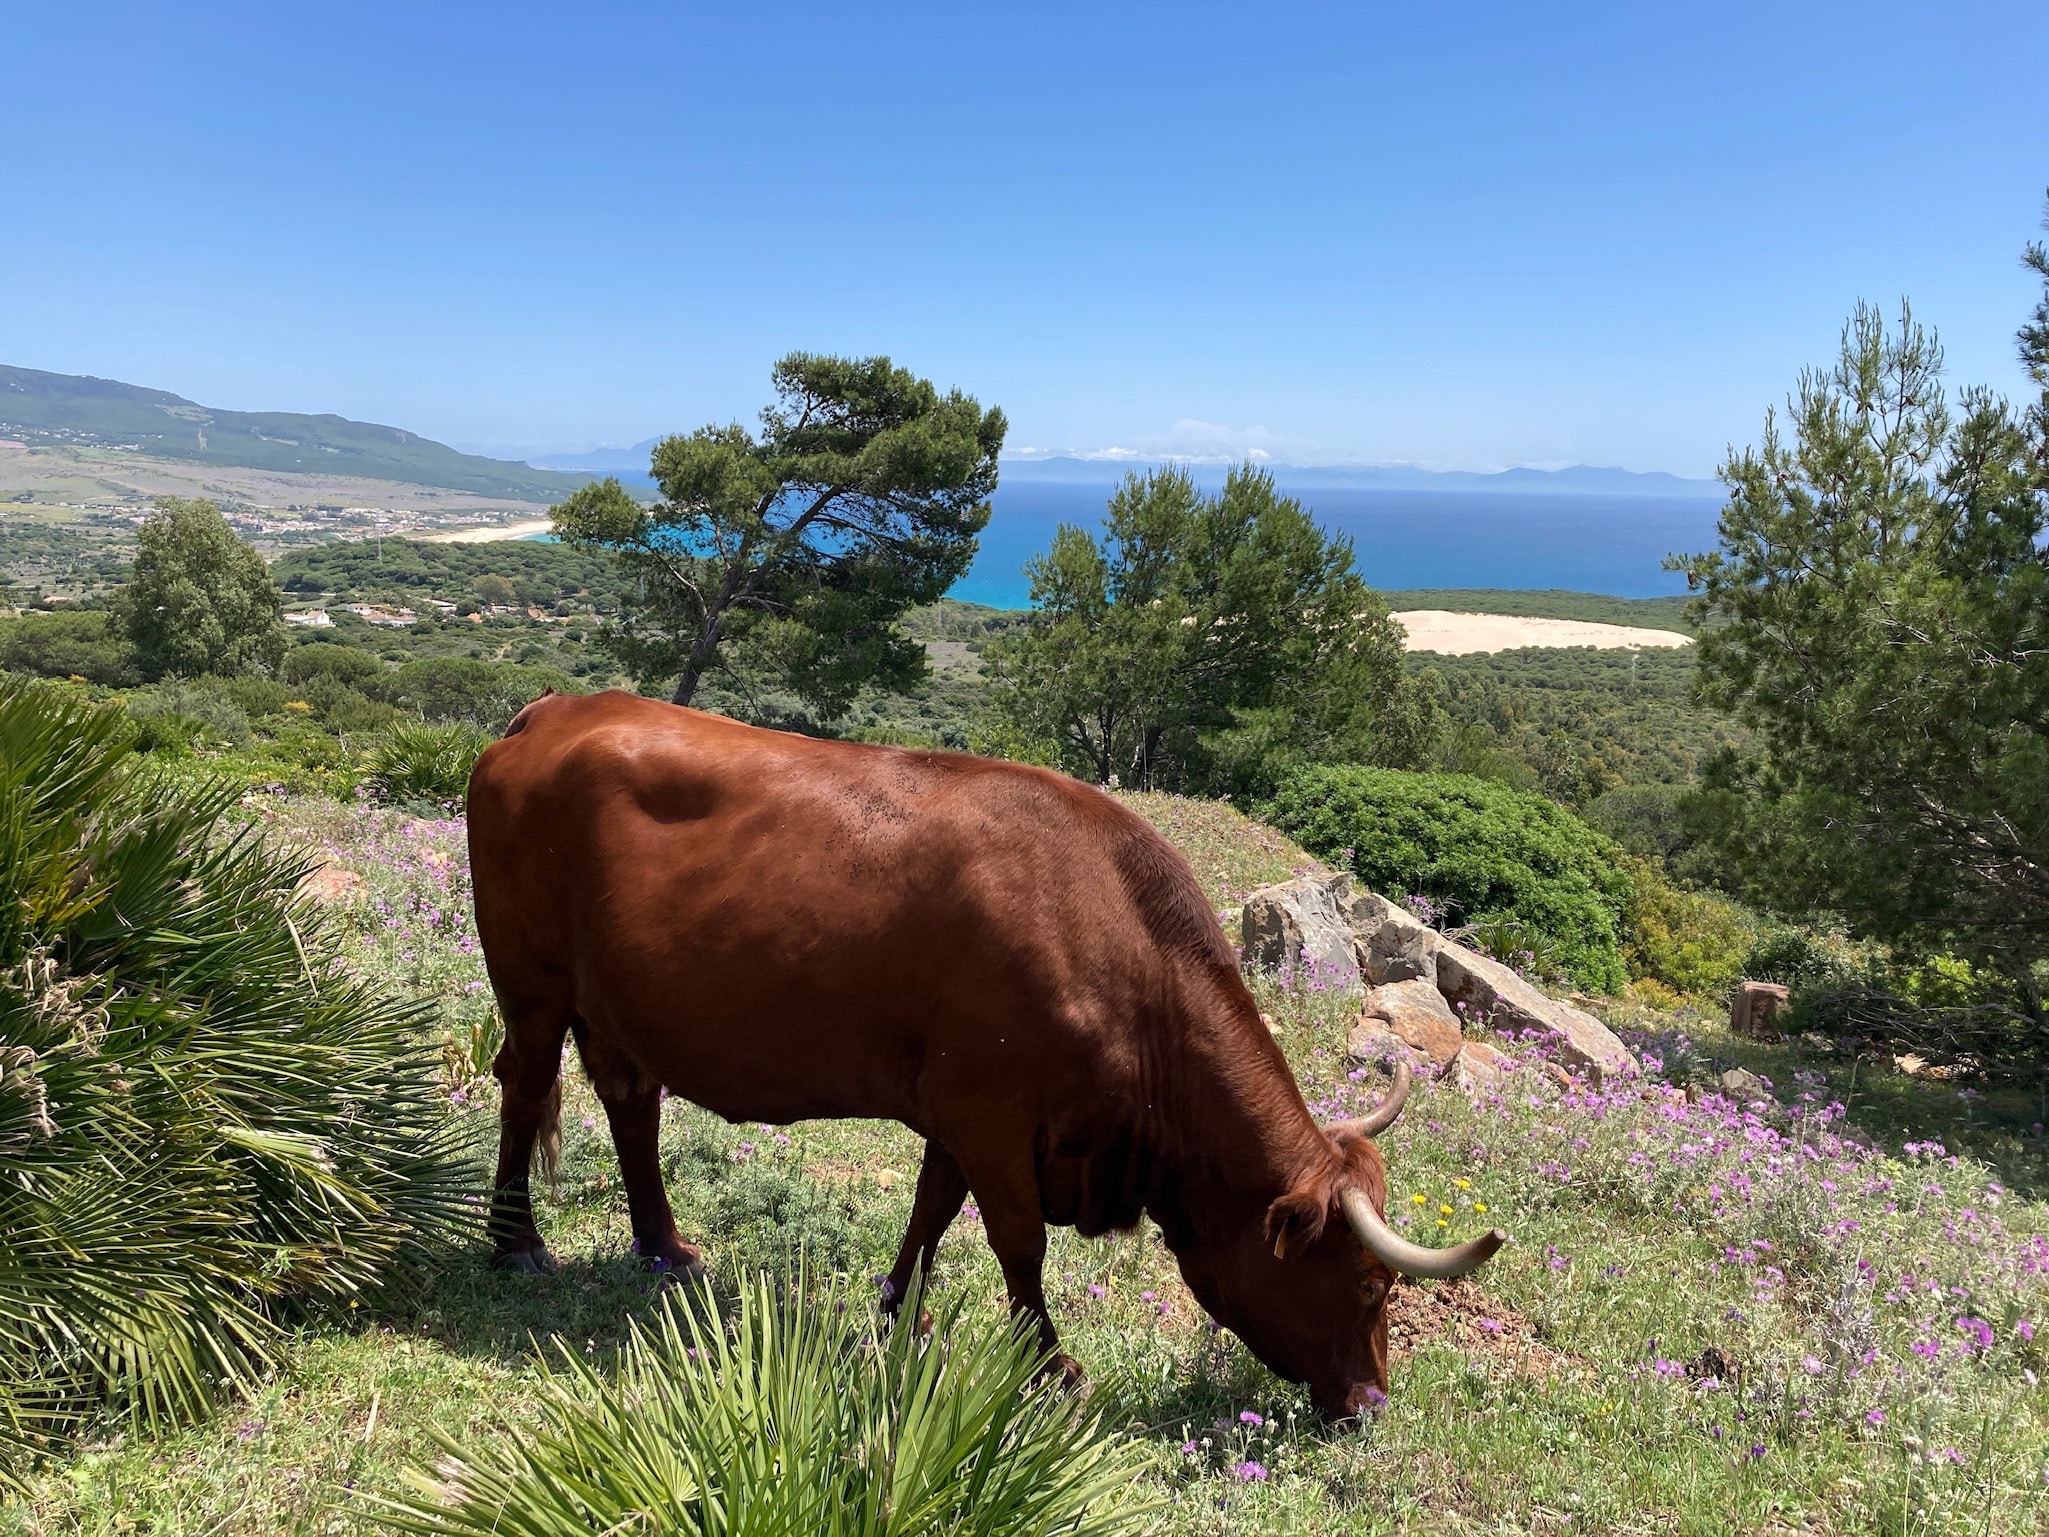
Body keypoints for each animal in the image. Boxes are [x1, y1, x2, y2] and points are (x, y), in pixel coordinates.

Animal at [465, 690, 1504, 1417]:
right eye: (1368, 1283)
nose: (1372, 1403)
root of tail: (551, 710)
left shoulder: (959, 1108)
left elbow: (931, 1210)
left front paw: (898, 1313)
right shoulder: (993, 1111)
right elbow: (1017, 1242)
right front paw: (1050, 1361)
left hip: (618, 1004)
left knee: (630, 1099)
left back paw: (663, 1245)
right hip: (531, 984)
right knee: (525, 1086)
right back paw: (516, 1241)